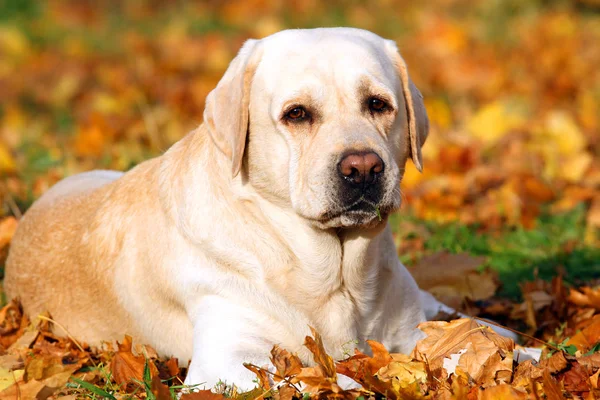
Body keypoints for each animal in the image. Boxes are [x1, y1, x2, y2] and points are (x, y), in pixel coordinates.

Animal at [5, 28, 464, 390]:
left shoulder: (411, 325)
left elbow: (467, 343)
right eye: (297, 113)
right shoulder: (226, 361)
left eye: (378, 104)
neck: (335, 275)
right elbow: (327, 379)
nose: (364, 167)